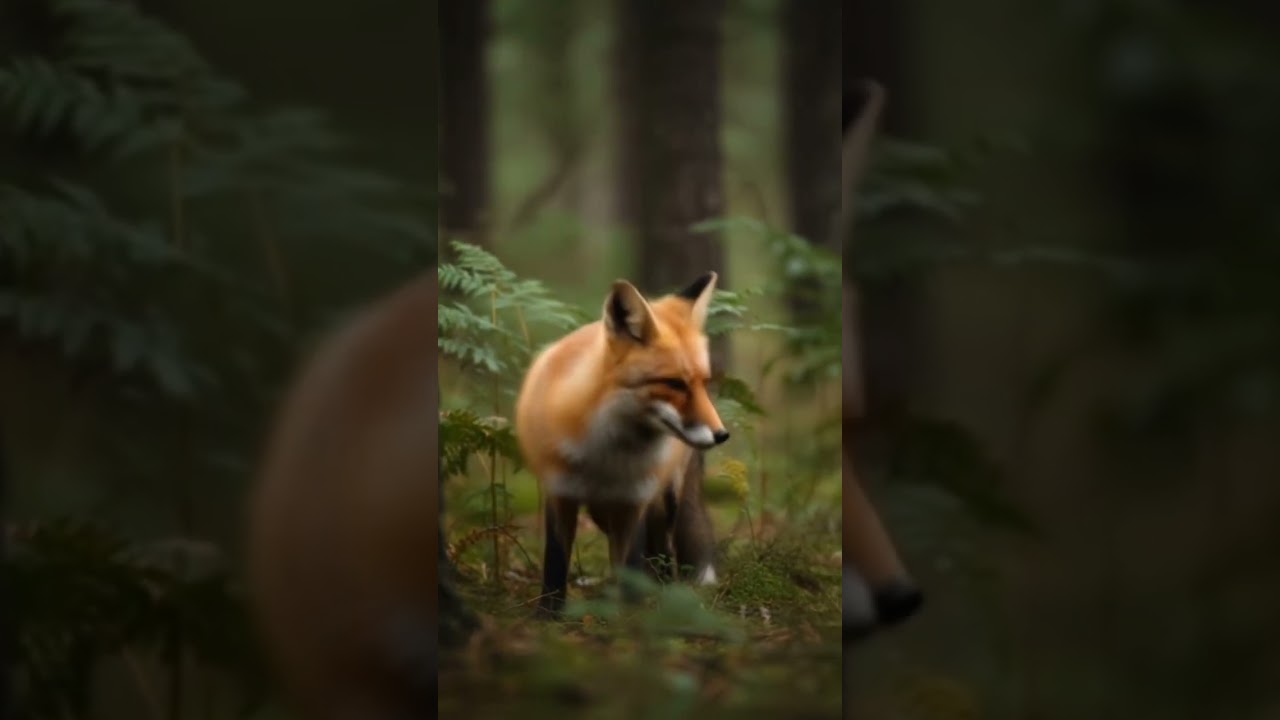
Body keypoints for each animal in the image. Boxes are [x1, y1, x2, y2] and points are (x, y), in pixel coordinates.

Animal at [515, 271, 729, 617]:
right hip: (601, 511)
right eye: (674, 384)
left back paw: (664, 590)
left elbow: (629, 567)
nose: (721, 434)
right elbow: (555, 563)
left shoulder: (634, 500)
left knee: (662, 548)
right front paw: (549, 615)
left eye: (703, 383)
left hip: (664, 498)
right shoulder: (560, 491)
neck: (606, 455)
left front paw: (628, 617)